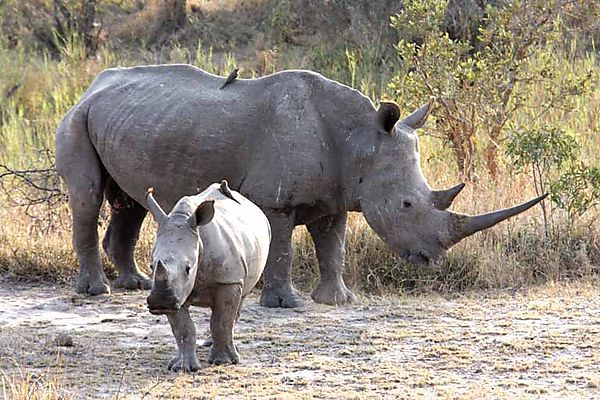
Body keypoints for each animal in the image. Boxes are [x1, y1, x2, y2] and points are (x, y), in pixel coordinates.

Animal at [145, 181, 270, 372]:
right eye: (152, 266)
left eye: (188, 268)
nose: (160, 303)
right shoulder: (175, 292)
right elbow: (183, 329)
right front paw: (182, 367)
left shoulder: (228, 280)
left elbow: (221, 321)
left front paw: (223, 362)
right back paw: (209, 344)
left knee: (238, 301)